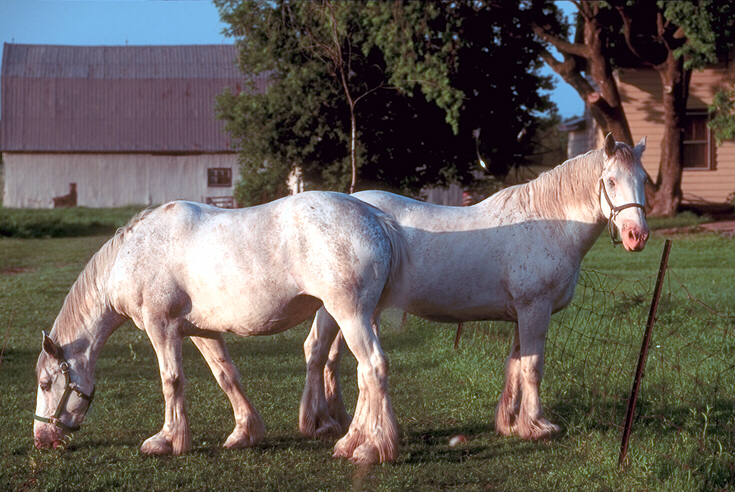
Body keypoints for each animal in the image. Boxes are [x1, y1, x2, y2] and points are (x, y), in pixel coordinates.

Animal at [34, 191, 406, 466]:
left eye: (45, 383)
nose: (40, 439)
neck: (133, 253)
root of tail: (376, 218)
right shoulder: (202, 330)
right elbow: (226, 376)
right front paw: (244, 432)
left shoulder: (160, 326)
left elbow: (171, 380)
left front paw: (167, 439)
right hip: (355, 316)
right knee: (362, 374)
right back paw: (352, 439)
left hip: (351, 315)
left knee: (373, 368)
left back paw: (371, 448)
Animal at [302, 134, 652, 442]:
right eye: (611, 181)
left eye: (644, 179)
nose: (637, 236)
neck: (550, 223)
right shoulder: (535, 309)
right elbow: (533, 367)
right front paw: (537, 425)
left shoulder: (522, 314)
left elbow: (516, 365)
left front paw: (510, 423)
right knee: (321, 352)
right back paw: (324, 423)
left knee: (326, 354)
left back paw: (333, 420)